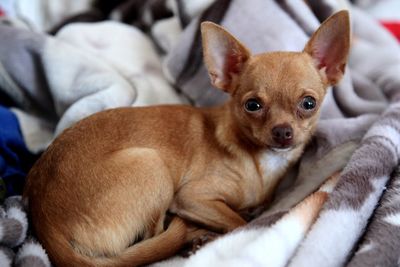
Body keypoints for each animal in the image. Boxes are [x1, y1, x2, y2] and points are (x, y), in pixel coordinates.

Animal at [24, 10, 350, 267]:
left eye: (308, 103)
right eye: (252, 105)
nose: (283, 132)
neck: (260, 161)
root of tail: (46, 226)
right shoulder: (192, 197)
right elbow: (239, 222)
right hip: (151, 165)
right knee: (153, 238)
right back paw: (193, 237)